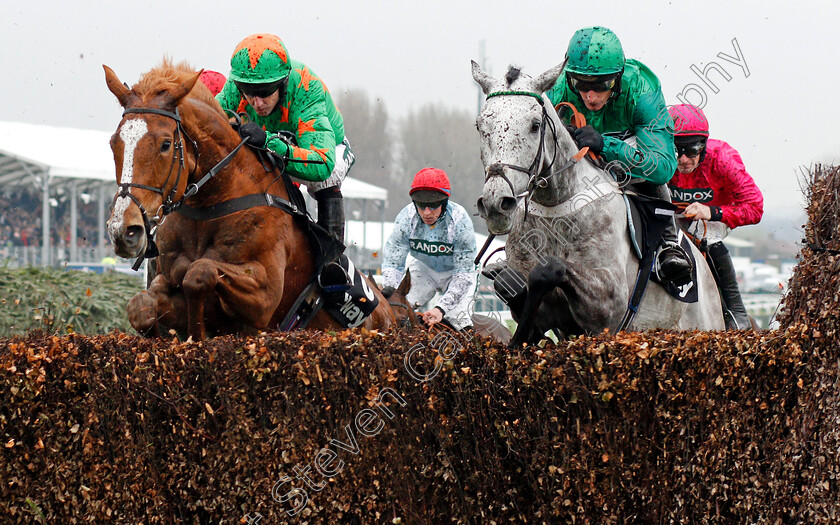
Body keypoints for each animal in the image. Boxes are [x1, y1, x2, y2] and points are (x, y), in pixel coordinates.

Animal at [102, 60, 398, 340]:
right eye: (114, 142)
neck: (211, 206)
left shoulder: (264, 299)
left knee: (326, 176)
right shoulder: (166, 282)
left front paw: (197, 335)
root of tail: (390, 312)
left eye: (165, 144)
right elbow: (140, 306)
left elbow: (199, 273)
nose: (123, 231)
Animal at [472, 61, 720, 346]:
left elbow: (549, 269)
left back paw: (673, 259)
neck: (556, 209)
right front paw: (519, 336)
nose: (496, 203)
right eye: (480, 126)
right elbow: (510, 287)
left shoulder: (608, 304)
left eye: (535, 125)